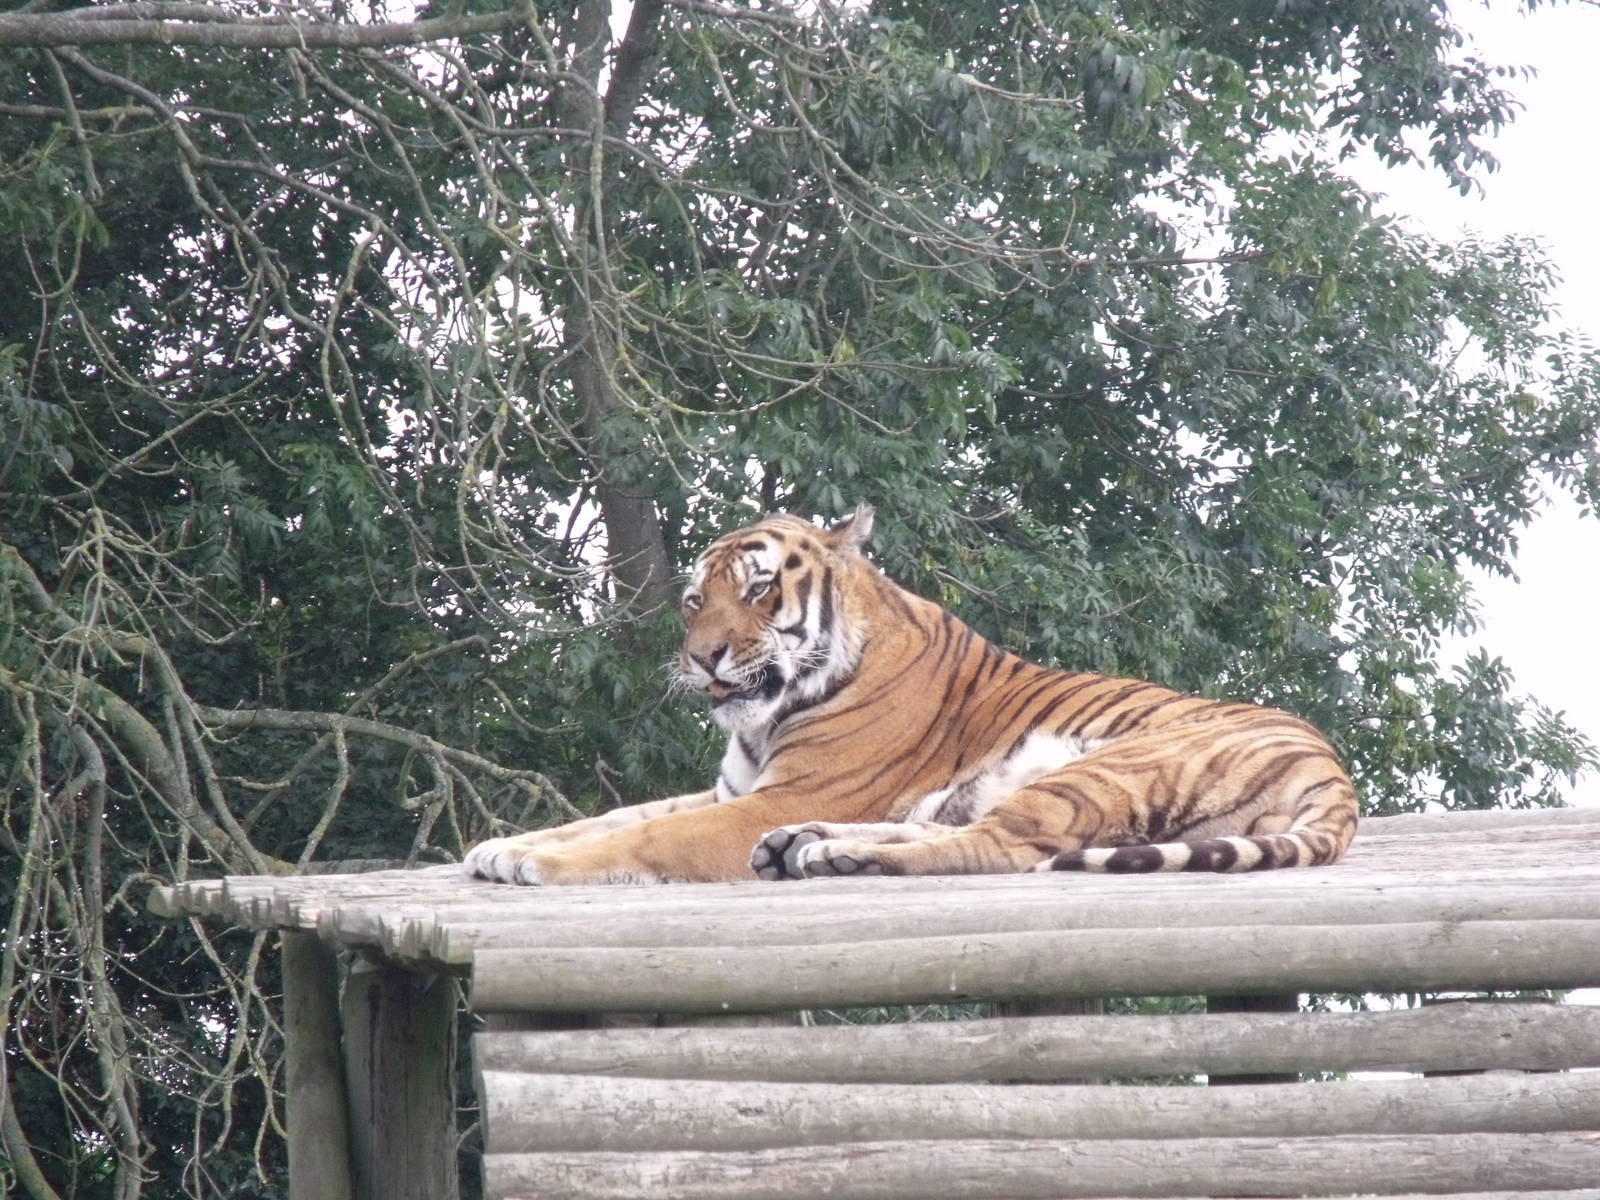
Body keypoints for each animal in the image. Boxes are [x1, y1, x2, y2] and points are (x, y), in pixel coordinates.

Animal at [463, 505, 1358, 886]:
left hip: (1105, 767)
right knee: (947, 830)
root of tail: (1336, 772)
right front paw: (502, 846)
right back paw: (807, 848)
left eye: (756, 591)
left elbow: (640, 837)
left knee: (1000, 850)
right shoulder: (736, 792)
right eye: (694, 600)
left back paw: (827, 852)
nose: (703, 656)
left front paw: (536, 864)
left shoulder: (769, 797)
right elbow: (611, 816)